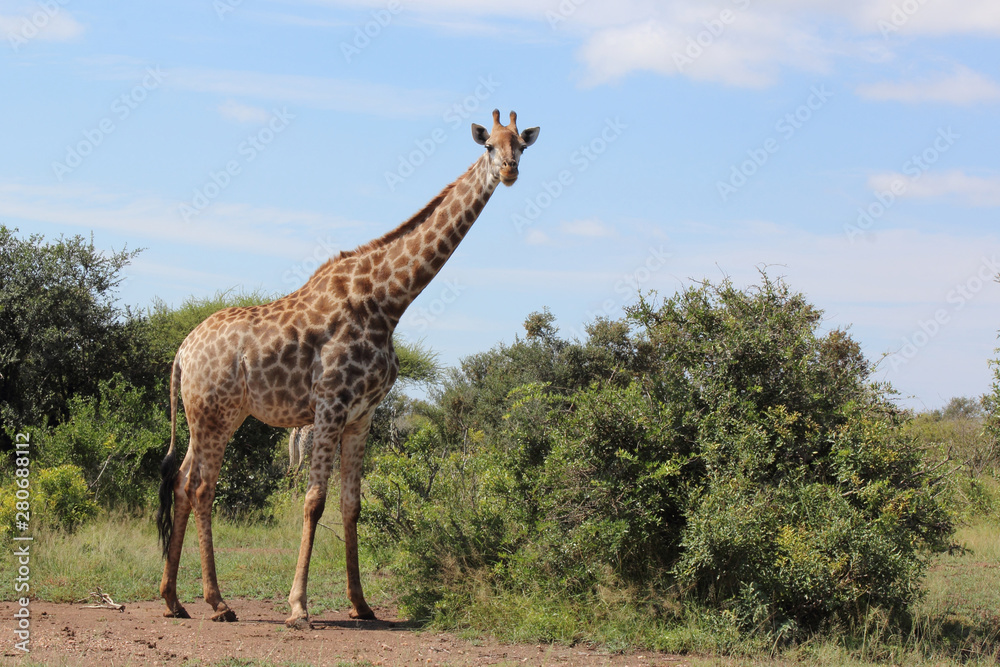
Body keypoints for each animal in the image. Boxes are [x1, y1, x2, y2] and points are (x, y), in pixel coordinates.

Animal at [156, 109, 539, 629]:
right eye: (488, 146)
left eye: (521, 144)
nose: (510, 170)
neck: (389, 301)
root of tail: (182, 352)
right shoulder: (330, 405)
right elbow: (314, 501)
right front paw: (299, 607)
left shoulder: (362, 415)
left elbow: (351, 504)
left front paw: (362, 604)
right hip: (216, 415)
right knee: (201, 488)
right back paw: (217, 602)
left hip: (208, 417)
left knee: (180, 483)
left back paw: (173, 600)